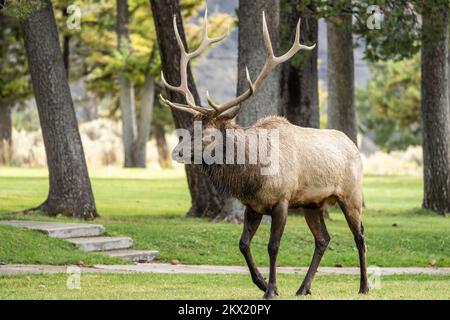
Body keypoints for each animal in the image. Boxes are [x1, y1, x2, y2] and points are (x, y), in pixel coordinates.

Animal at [160, 8, 368, 298]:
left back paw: (364, 285)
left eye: (209, 134)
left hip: (351, 194)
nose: (177, 152)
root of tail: (353, 146)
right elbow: (243, 243)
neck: (252, 175)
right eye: (191, 127)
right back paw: (303, 288)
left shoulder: (282, 200)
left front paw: (271, 289)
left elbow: (272, 246)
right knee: (323, 239)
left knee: (359, 235)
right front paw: (261, 283)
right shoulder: (253, 206)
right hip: (312, 204)